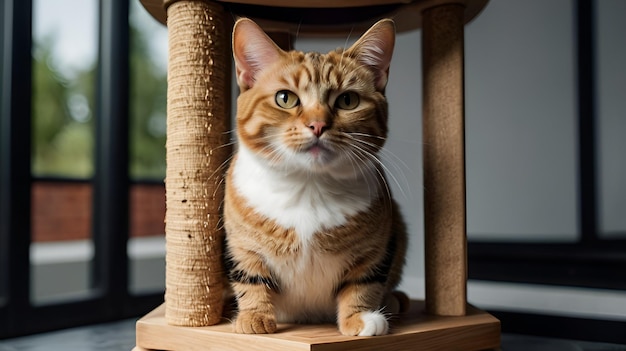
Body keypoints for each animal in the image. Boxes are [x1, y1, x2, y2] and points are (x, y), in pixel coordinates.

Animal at [222, 17, 408, 336]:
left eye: (348, 100)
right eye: (285, 98)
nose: (318, 125)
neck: (308, 186)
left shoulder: (377, 244)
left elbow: (364, 281)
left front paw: (360, 318)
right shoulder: (241, 244)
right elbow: (251, 276)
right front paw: (254, 318)